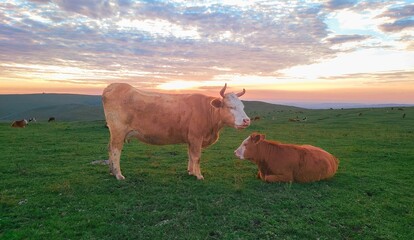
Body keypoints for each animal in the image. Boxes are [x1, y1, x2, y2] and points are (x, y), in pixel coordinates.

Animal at [102, 82, 251, 180]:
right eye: (230, 107)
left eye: (243, 106)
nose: (246, 120)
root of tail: (114, 86)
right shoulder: (196, 137)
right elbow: (197, 157)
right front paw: (199, 175)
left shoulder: (191, 139)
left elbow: (190, 155)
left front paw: (191, 172)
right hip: (118, 132)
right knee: (115, 151)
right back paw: (119, 175)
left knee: (109, 148)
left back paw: (111, 171)